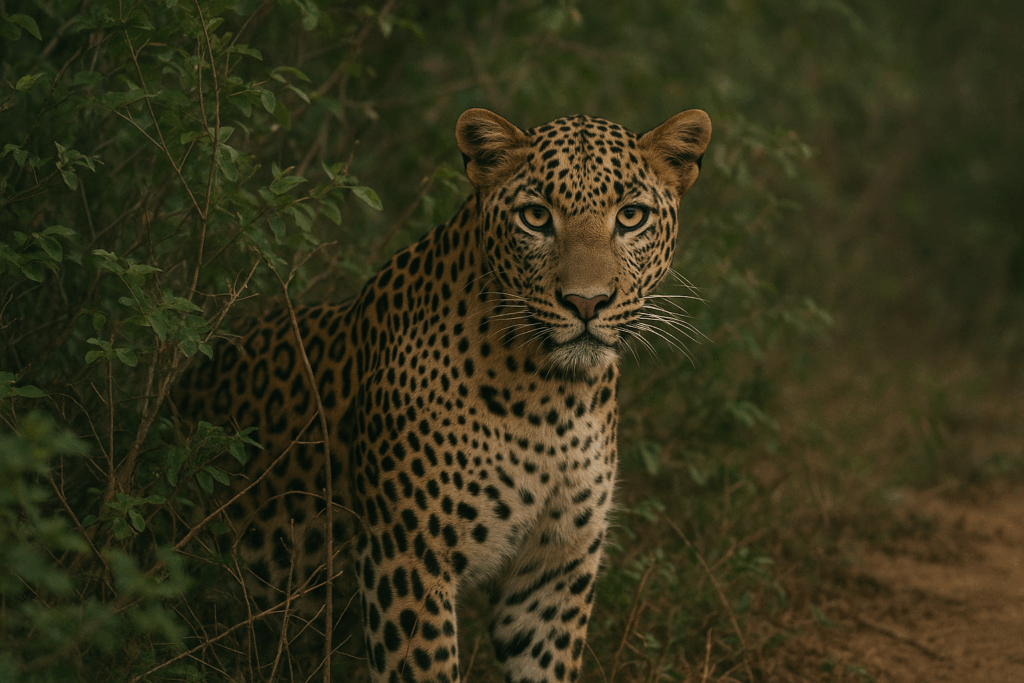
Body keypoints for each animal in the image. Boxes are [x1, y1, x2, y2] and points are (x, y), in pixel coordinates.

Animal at [175, 107, 712, 683]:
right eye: (536, 217)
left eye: (631, 216)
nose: (586, 303)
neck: (554, 397)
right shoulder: (406, 561)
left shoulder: (555, 571)